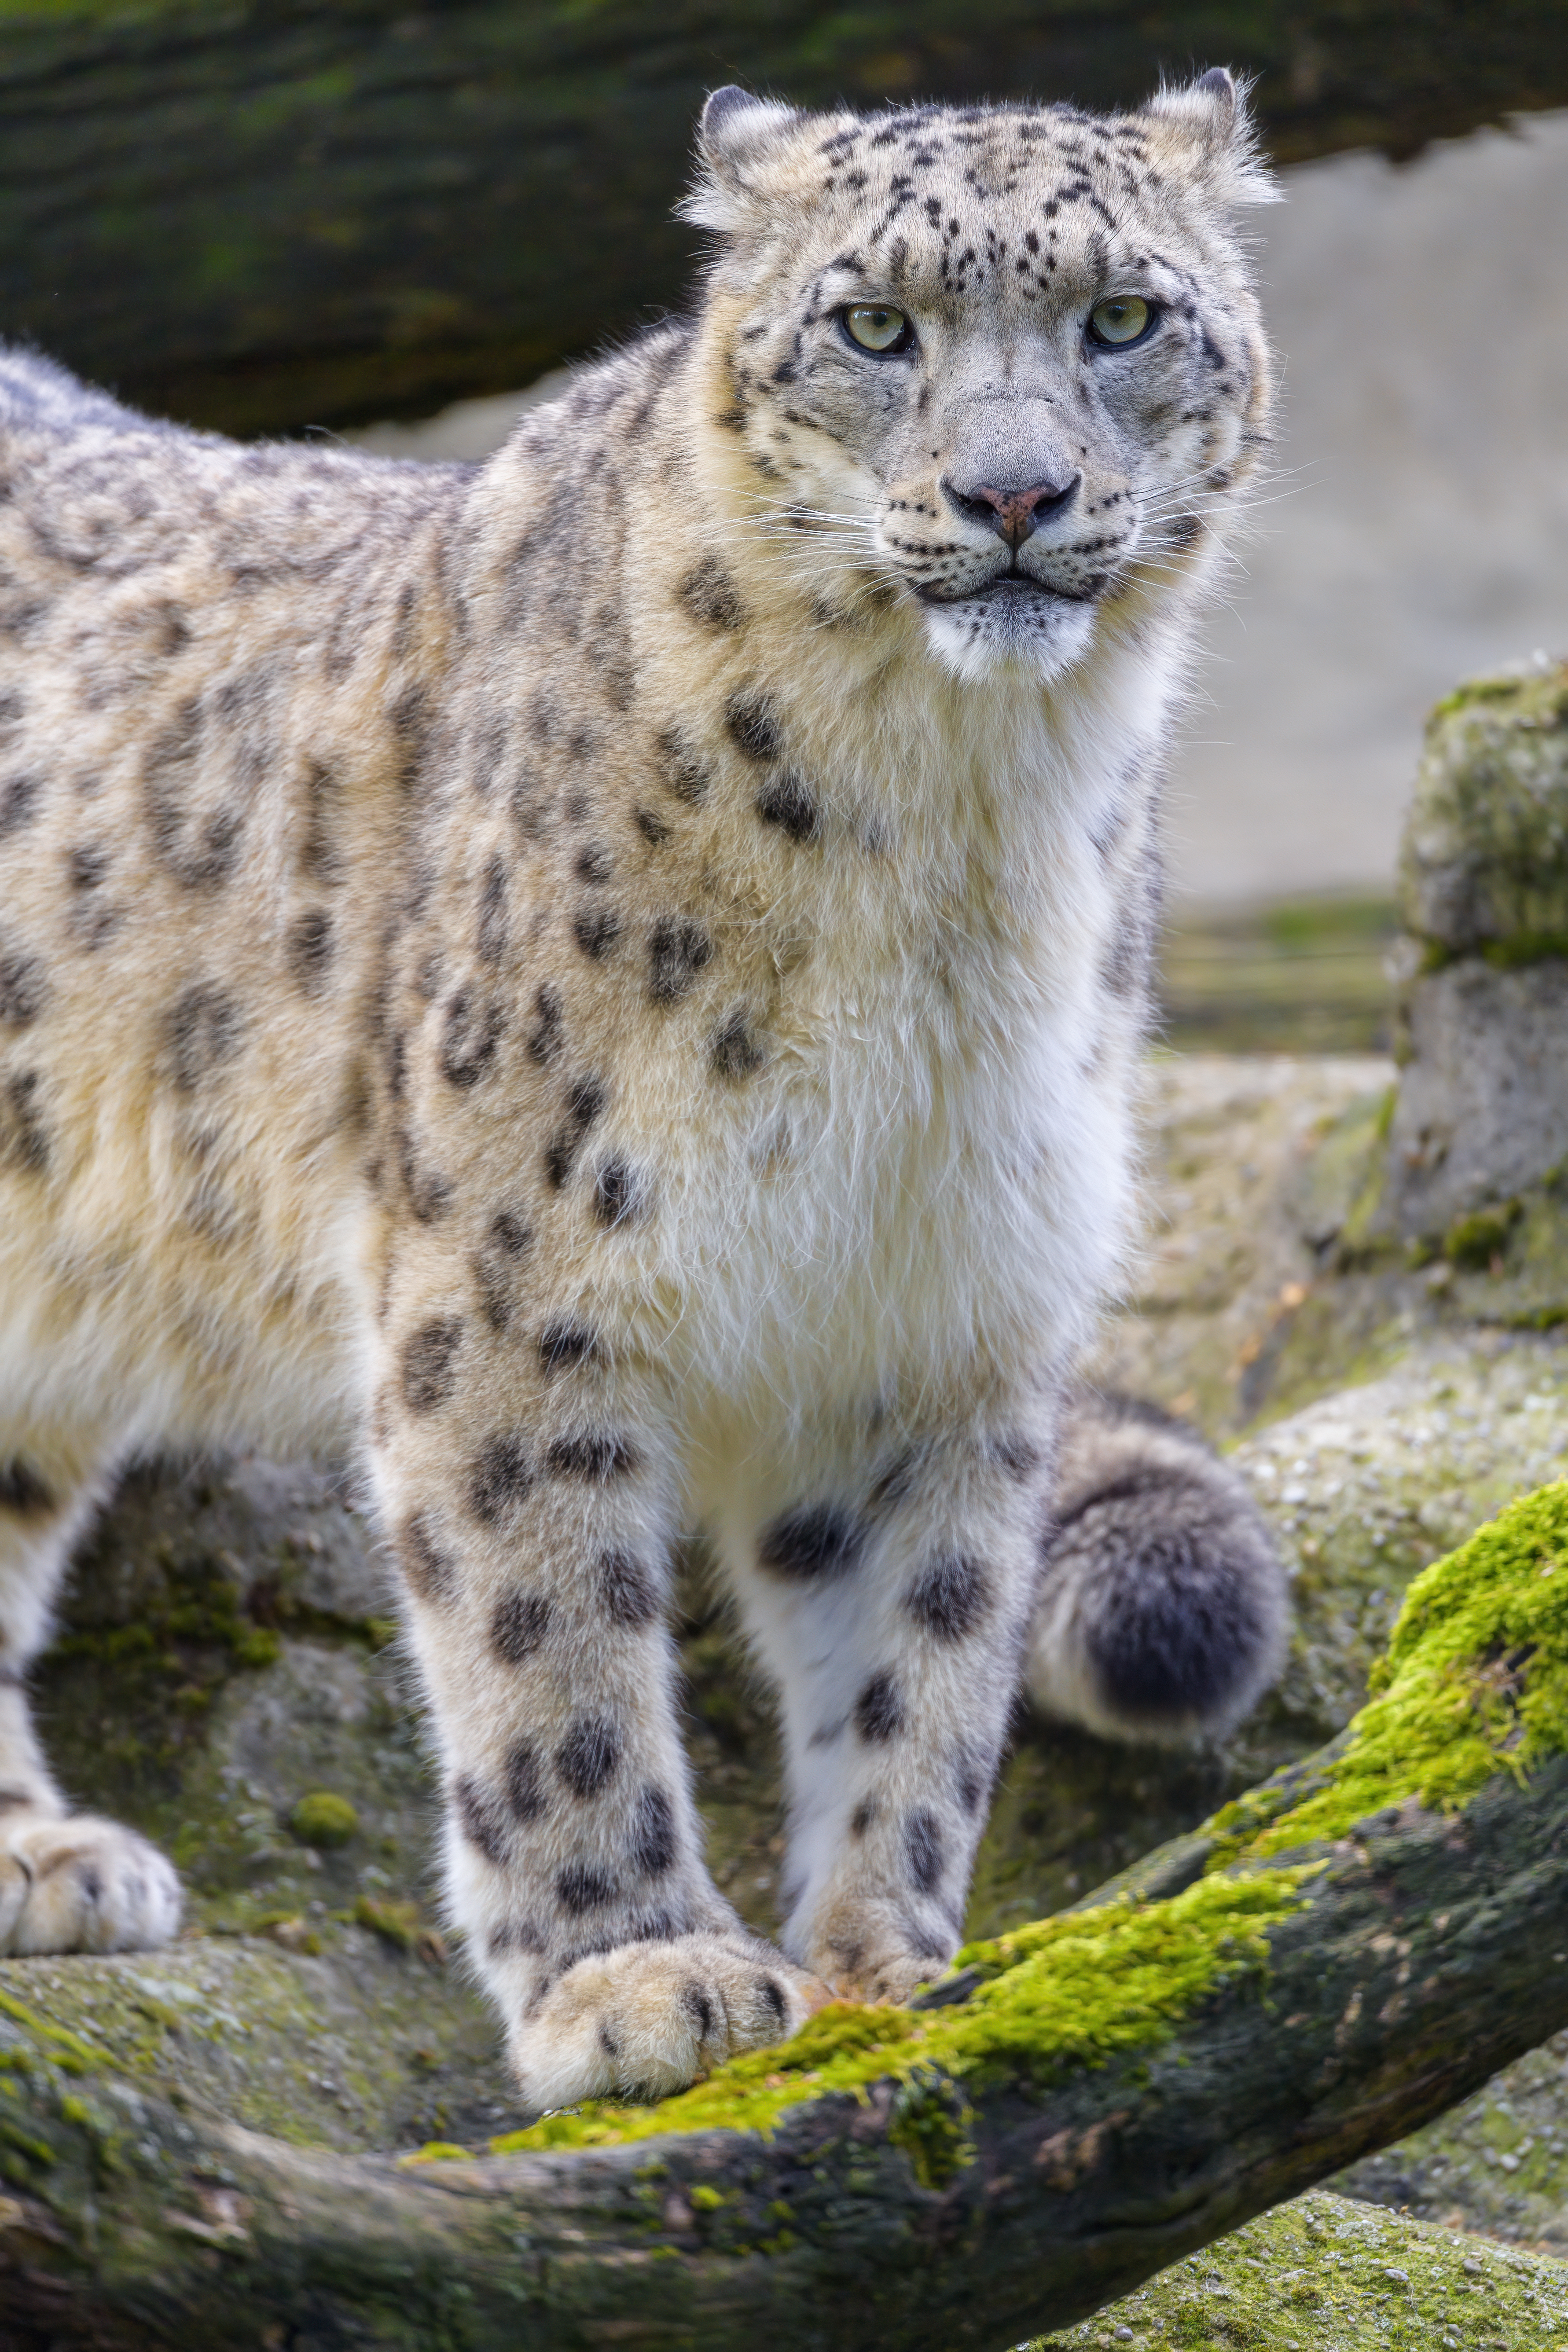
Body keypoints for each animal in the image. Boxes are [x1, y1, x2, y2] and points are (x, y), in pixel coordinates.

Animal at [0, 64, 1278, 2107]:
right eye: (872, 325)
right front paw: (641, 1975)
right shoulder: (514, 1269)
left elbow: (920, 1644)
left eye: (1119, 317)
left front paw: (881, 1970)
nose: (1013, 494)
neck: (954, 828)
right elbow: (551, 1637)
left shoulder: (933, 1284)